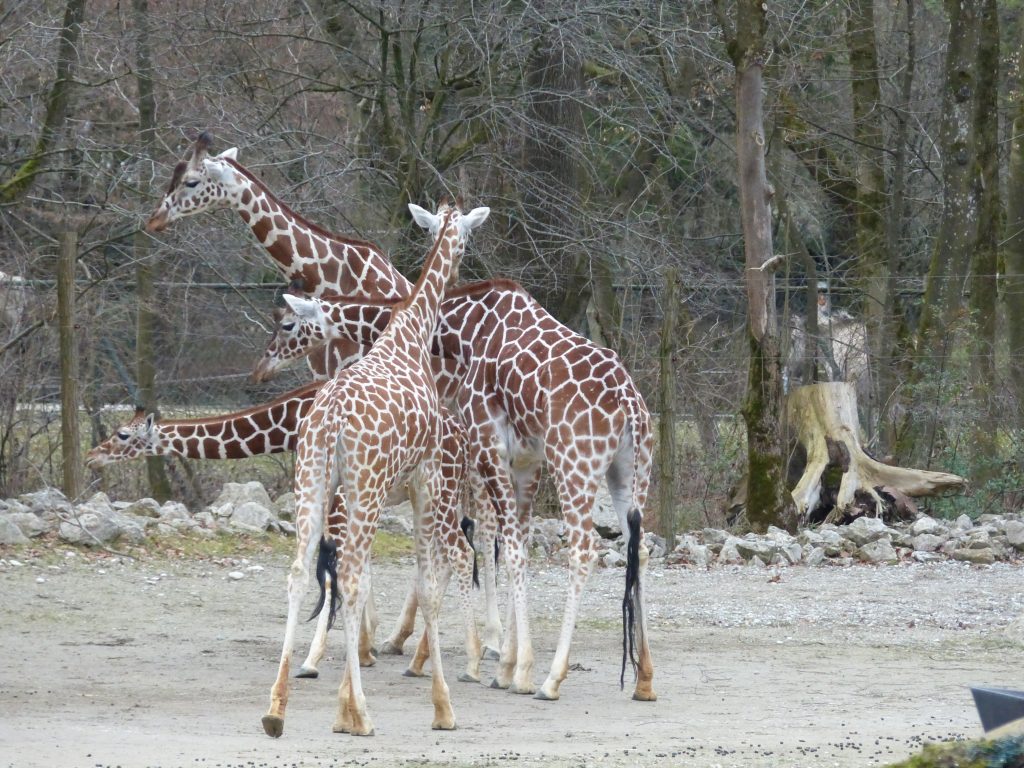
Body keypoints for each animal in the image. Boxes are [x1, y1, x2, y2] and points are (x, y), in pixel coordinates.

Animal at [83, 387, 479, 684]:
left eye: (122, 434)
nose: (91, 457)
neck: (289, 423)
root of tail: (462, 436)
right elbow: (361, 571)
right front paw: (364, 650)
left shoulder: (335, 498)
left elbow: (335, 573)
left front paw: (313, 659)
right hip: (430, 495)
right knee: (445, 558)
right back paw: (419, 660)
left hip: (438, 493)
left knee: (461, 553)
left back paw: (472, 664)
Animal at [146, 134, 505, 655]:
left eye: (192, 181)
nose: (154, 219)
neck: (332, 272)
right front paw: (363, 636)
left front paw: (358, 638)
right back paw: (405, 638)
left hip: (474, 446)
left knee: (485, 528)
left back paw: (488, 641)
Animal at [252, 278, 659, 704]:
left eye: (287, 325)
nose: (261, 370)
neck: (463, 331)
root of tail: (629, 403)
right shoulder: (526, 460)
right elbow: (515, 545)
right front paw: (507, 663)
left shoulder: (488, 441)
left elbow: (505, 548)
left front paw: (516, 669)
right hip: (630, 470)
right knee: (641, 548)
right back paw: (644, 679)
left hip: (574, 464)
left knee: (582, 550)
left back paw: (552, 680)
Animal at [262, 199, 489, 741]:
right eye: (467, 239)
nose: (462, 267)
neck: (411, 333)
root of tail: (331, 422)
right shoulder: (425, 478)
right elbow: (426, 585)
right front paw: (440, 708)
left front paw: (341, 704)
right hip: (367, 487)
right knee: (351, 575)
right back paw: (364, 714)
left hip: (313, 483)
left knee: (300, 571)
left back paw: (277, 710)